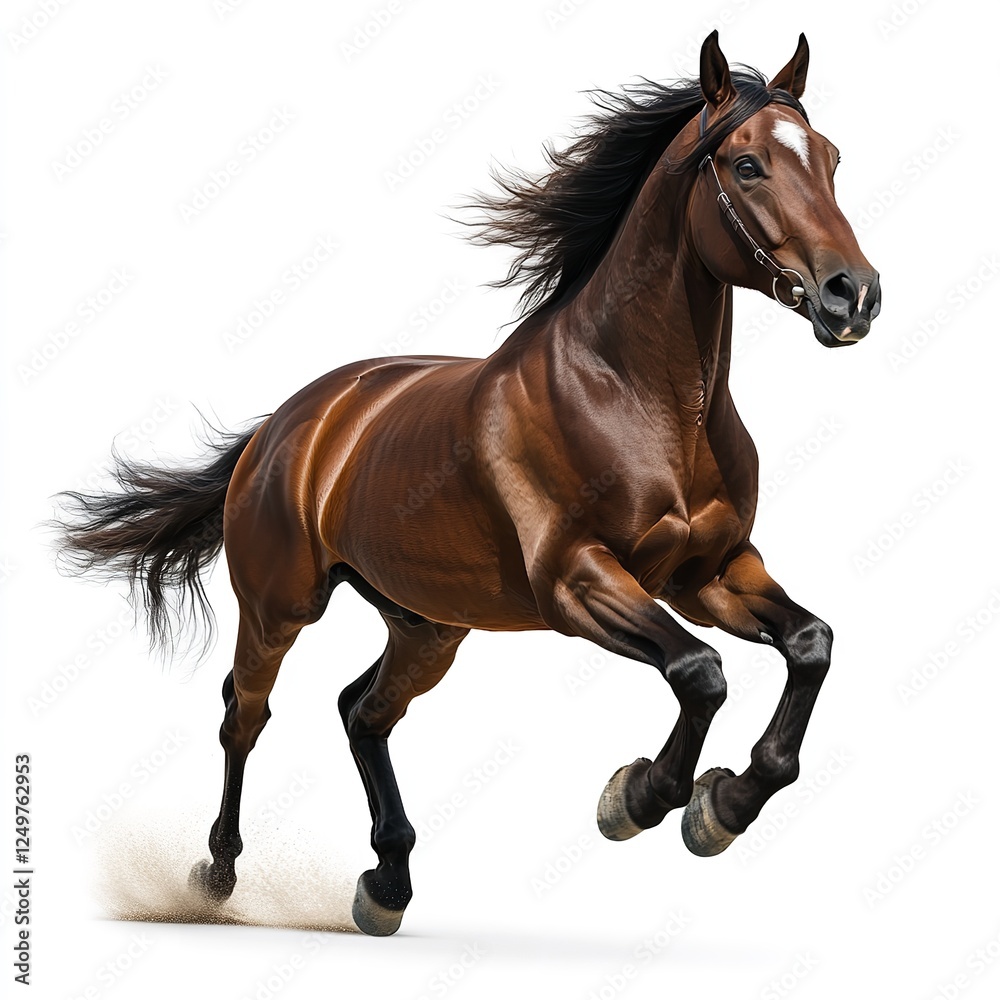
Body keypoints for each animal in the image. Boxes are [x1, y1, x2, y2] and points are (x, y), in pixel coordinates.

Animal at [55, 31, 881, 936]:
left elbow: (810, 644)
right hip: (280, 607)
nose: (854, 295)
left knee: (361, 711)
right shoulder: (578, 582)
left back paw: (386, 884)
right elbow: (700, 672)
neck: (639, 396)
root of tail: (289, 423)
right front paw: (640, 799)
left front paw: (723, 805)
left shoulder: (712, 575)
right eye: (747, 165)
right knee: (245, 714)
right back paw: (216, 877)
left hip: (429, 625)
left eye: (831, 159)